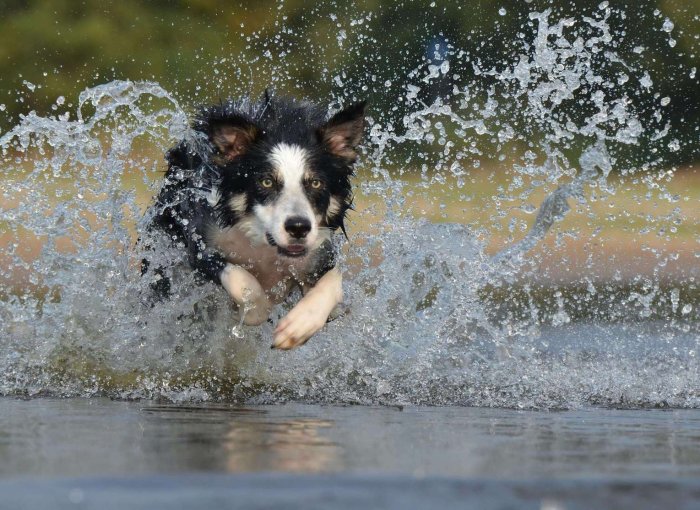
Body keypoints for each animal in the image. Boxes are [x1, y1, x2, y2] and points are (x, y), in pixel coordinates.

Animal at [139, 92, 364, 350]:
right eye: (266, 182)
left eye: (316, 183)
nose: (298, 227)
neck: (264, 247)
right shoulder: (201, 242)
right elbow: (242, 280)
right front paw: (252, 310)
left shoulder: (319, 254)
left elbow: (334, 282)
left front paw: (298, 326)